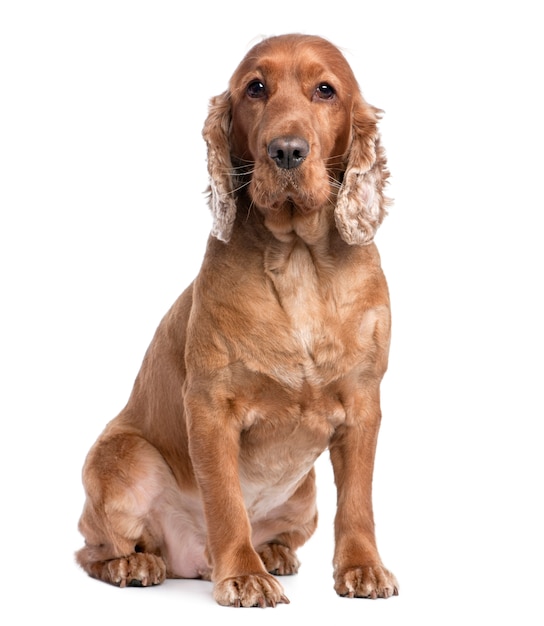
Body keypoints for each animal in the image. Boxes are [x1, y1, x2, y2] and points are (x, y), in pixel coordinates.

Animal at [75, 33, 400, 604]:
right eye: (256, 88)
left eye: (325, 90)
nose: (287, 150)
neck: (298, 263)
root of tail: (191, 562)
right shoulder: (210, 408)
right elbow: (225, 502)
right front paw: (244, 575)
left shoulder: (364, 405)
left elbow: (358, 501)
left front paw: (362, 568)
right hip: (123, 461)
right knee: (93, 548)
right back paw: (135, 565)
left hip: (305, 497)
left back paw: (273, 552)